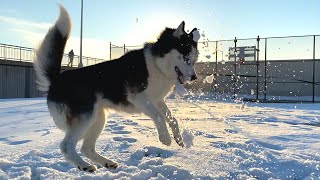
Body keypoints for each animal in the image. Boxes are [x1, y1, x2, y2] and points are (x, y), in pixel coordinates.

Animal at [34, 5, 200, 172]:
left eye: (194, 60)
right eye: (186, 58)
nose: (194, 77)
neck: (156, 65)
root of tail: (56, 79)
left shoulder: (157, 100)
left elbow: (172, 118)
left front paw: (178, 138)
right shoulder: (139, 98)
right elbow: (158, 116)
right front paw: (165, 137)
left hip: (97, 118)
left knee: (86, 148)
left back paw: (106, 163)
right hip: (85, 117)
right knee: (66, 145)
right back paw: (84, 165)